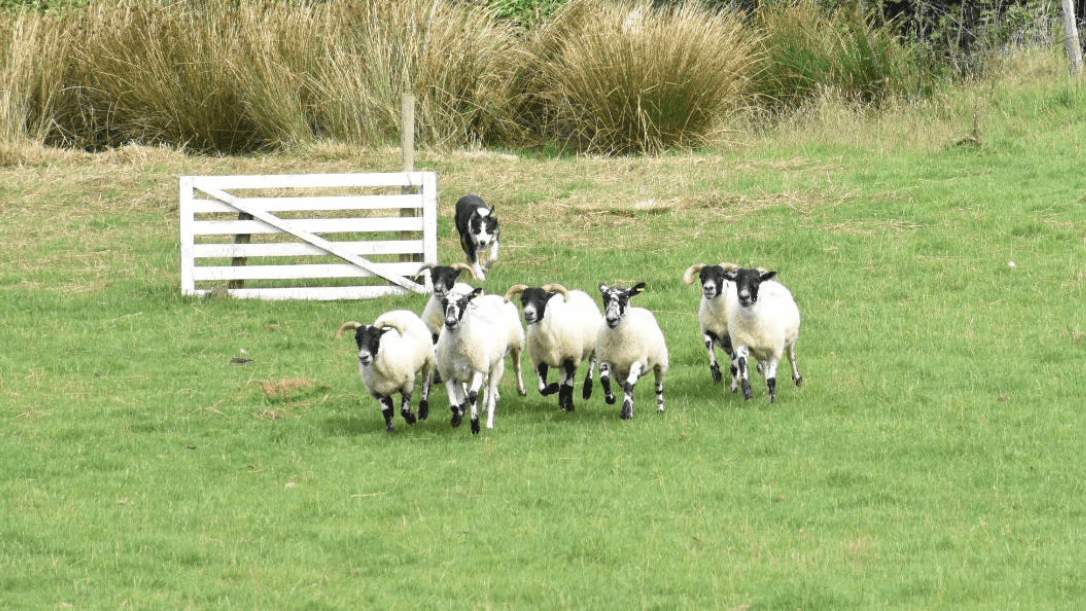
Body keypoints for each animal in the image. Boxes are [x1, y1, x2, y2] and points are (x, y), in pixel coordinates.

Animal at [436, 288, 529, 434]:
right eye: (444, 302)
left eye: (463, 302)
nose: (450, 322)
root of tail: (497, 297)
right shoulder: (448, 373)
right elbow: (454, 404)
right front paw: (457, 418)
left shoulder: (479, 368)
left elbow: (473, 395)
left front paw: (475, 424)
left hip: (514, 346)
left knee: (515, 368)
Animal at [501, 284, 603, 414]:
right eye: (523, 300)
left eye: (542, 299)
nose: (528, 314)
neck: (548, 336)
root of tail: (579, 291)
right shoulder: (539, 361)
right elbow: (543, 388)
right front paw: (555, 388)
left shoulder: (572, 359)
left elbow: (568, 385)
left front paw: (569, 407)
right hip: (562, 361)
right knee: (564, 377)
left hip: (593, 346)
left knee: (591, 364)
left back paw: (586, 391)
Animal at [595, 284, 668, 421]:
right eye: (604, 297)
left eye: (624, 297)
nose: (611, 319)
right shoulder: (605, 360)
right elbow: (605, 380)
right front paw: (611, 399)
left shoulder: (638, 361)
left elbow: (629, 385)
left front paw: (625, 413)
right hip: (619, 373)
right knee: (626, 387)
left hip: (661, 363)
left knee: (658, 386)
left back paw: (660, 409)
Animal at [682, 261, 742, 392]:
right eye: (701, 276)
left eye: (720, 276)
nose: (708, 288)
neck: (719, 315)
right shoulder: (708, 331)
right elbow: (709, 346)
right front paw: (716, 374)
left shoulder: (733, 337)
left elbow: (734, 367)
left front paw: (734, 388)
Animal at [721, 266, 807, 401]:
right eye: (737, 281)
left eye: (756, 281)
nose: (744, 297)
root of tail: (770, 282)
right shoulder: (741, 344)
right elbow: (742, 365)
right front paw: (748, 393)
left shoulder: (775, 349)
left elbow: (772, 378)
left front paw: (771, 400)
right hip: (759, 351)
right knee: (765, 365)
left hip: (791, 339)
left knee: (791, 357)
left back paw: (797, 379)